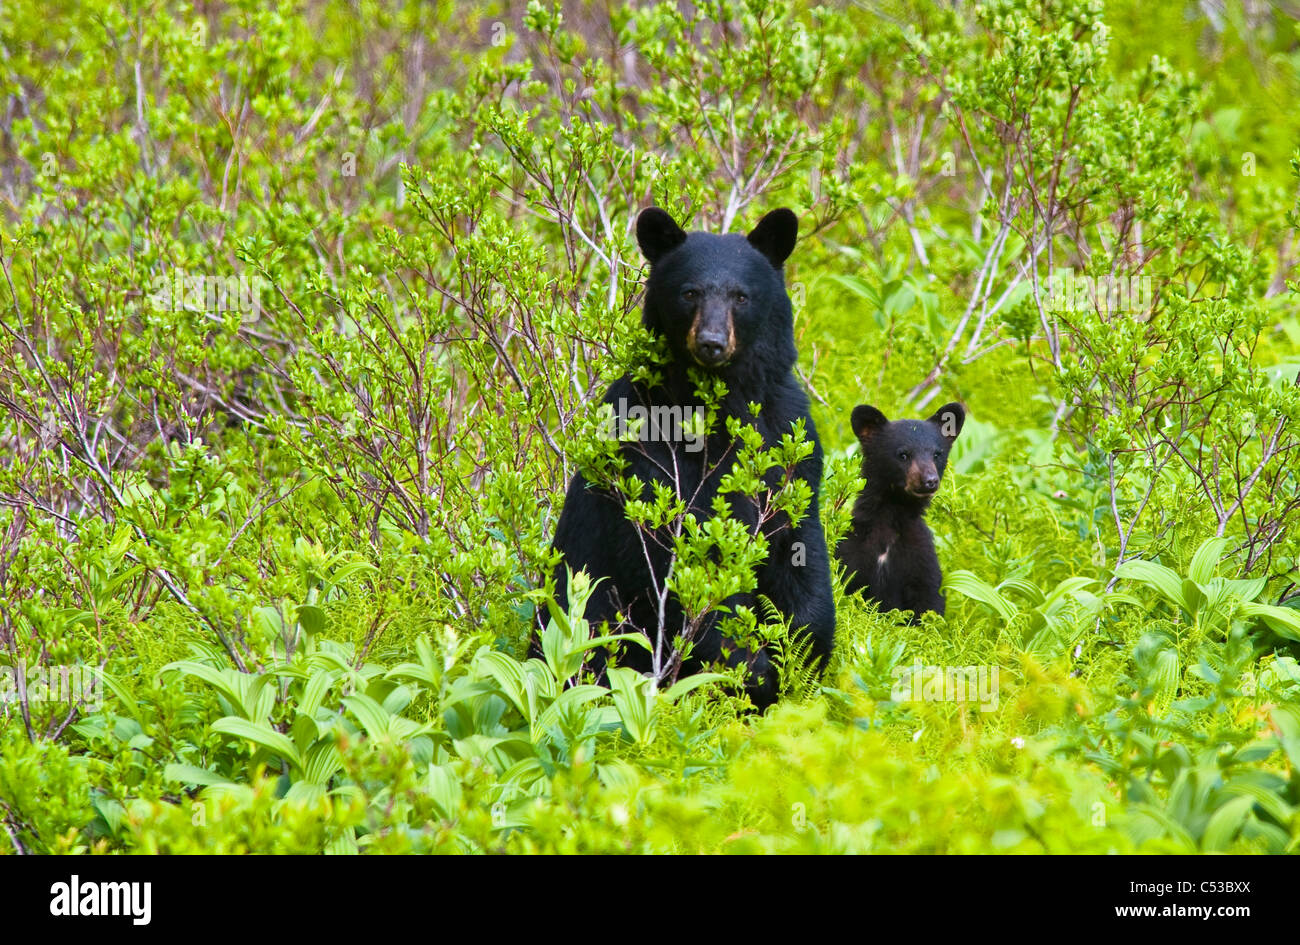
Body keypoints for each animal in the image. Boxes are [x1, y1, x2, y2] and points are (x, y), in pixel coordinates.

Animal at [546, 206, 832, 707]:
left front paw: (800, 658)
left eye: (741, 295)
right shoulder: (646, 453)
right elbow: (680, 568)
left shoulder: (788, 435)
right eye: (690, 292)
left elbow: (799, 544)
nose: (712, 342)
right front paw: (749, 672)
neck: (721, 407)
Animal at [832, 400, 967, 616]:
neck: (893, 515)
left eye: (937, 454)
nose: (929, 481)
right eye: (903, 454)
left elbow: (929, 602)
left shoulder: (921, 559)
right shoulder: (851, 552)